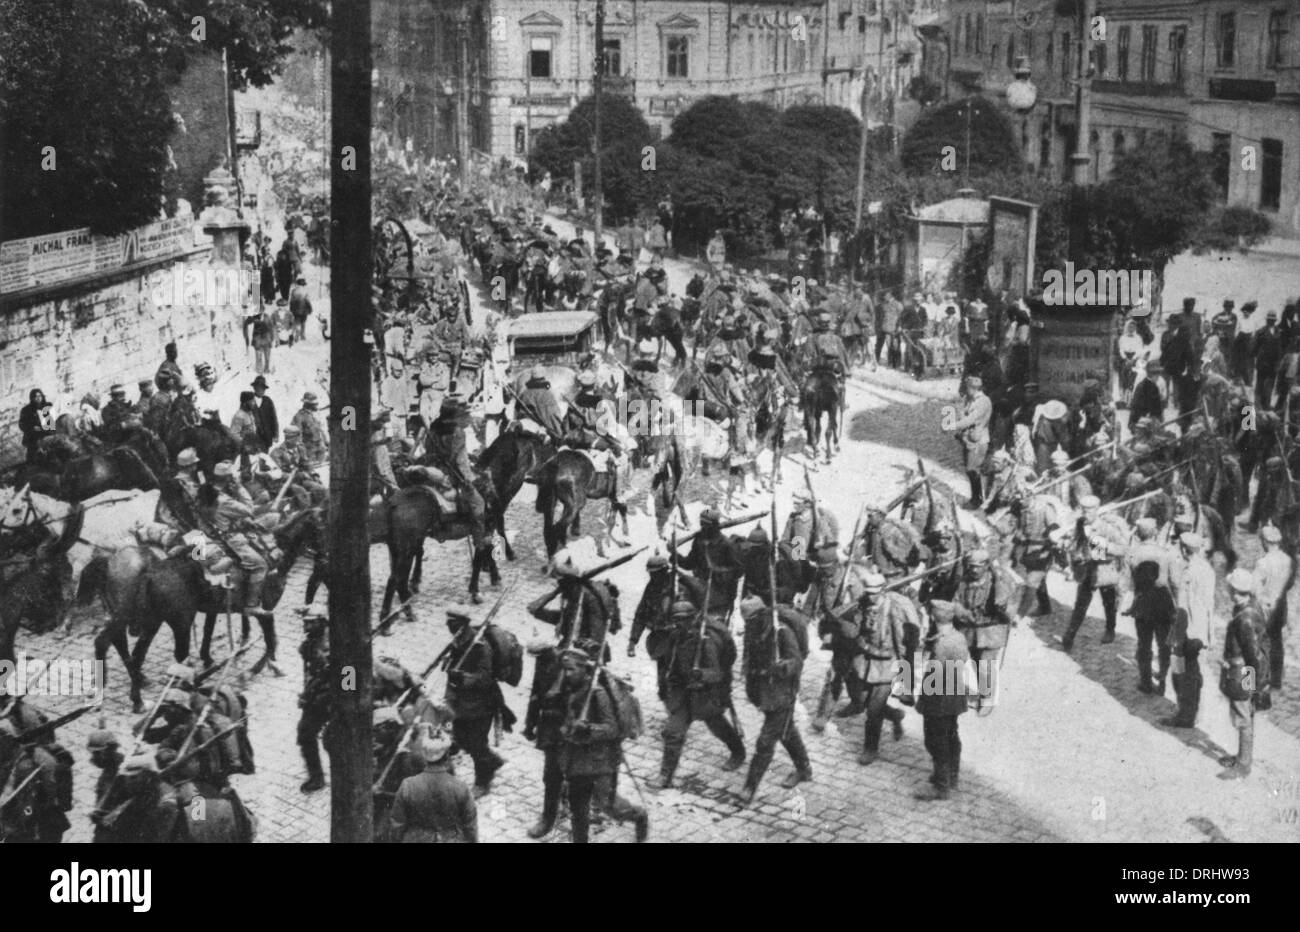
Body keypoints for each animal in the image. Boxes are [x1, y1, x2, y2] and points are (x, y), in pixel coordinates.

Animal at [79, 504, 321, 707]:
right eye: (321, 525)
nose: (323, 558)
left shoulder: (221, 608)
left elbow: (214, 630)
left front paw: (217, 657)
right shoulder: (264, 608)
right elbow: (270, 638)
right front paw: (262, 667)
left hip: (150, 621)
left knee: (133, 651)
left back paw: (138, 694)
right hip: (168, 622)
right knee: (118, 644)